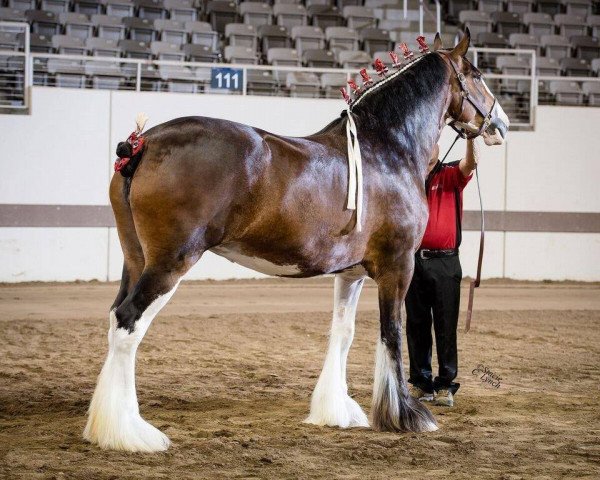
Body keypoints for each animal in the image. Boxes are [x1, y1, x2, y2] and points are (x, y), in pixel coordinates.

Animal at [83, 31, 506, 452]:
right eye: (477, 73)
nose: (500, 123)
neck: (385, 149)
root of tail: (142, 143)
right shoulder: (397, 267)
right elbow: (392, 333)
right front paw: (404, 416)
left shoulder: (350, 274)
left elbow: (344, 333)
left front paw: (335, 411)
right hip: (170, 263)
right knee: (128, 323)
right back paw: (129, 432)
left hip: (136, 260)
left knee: (115, 317)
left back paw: (104, 425)